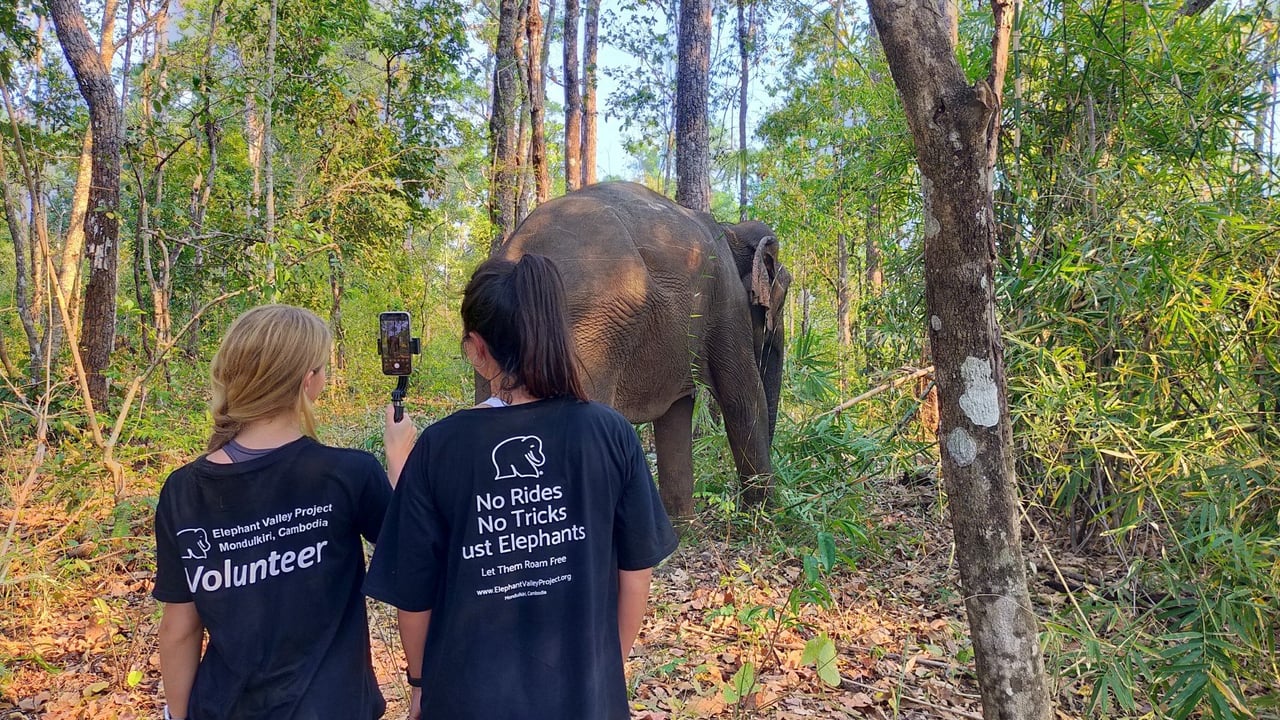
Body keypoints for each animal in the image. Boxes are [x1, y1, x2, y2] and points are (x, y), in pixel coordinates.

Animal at [496, 181, 788, 517]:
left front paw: (682, 523)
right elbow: (743, 397)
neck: (731, 230)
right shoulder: (727, 300)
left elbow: (678, 410)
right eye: (781, 299)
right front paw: (767, 516)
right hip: (588, 327)